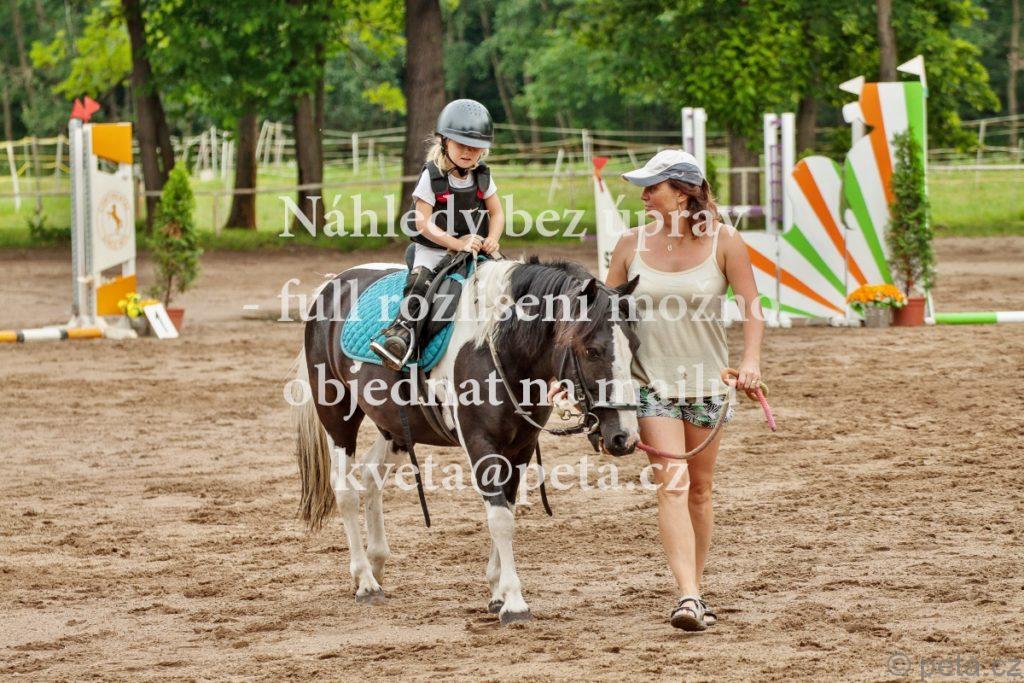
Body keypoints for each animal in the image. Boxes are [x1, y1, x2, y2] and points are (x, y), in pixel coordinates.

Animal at [293, 255, 641, 624]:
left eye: (634, 347)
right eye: (592, 351)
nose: (625, 437)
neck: (498, 349)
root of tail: (334, 283)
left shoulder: (520, 446)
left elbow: (507, 510)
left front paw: (498, 593)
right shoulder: (480, 444)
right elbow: (500, 520)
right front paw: (514, 601)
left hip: (396, 427)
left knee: (372, 476)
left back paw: (376, 565)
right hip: (337, 414)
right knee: (345, 491)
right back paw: (365, 581)